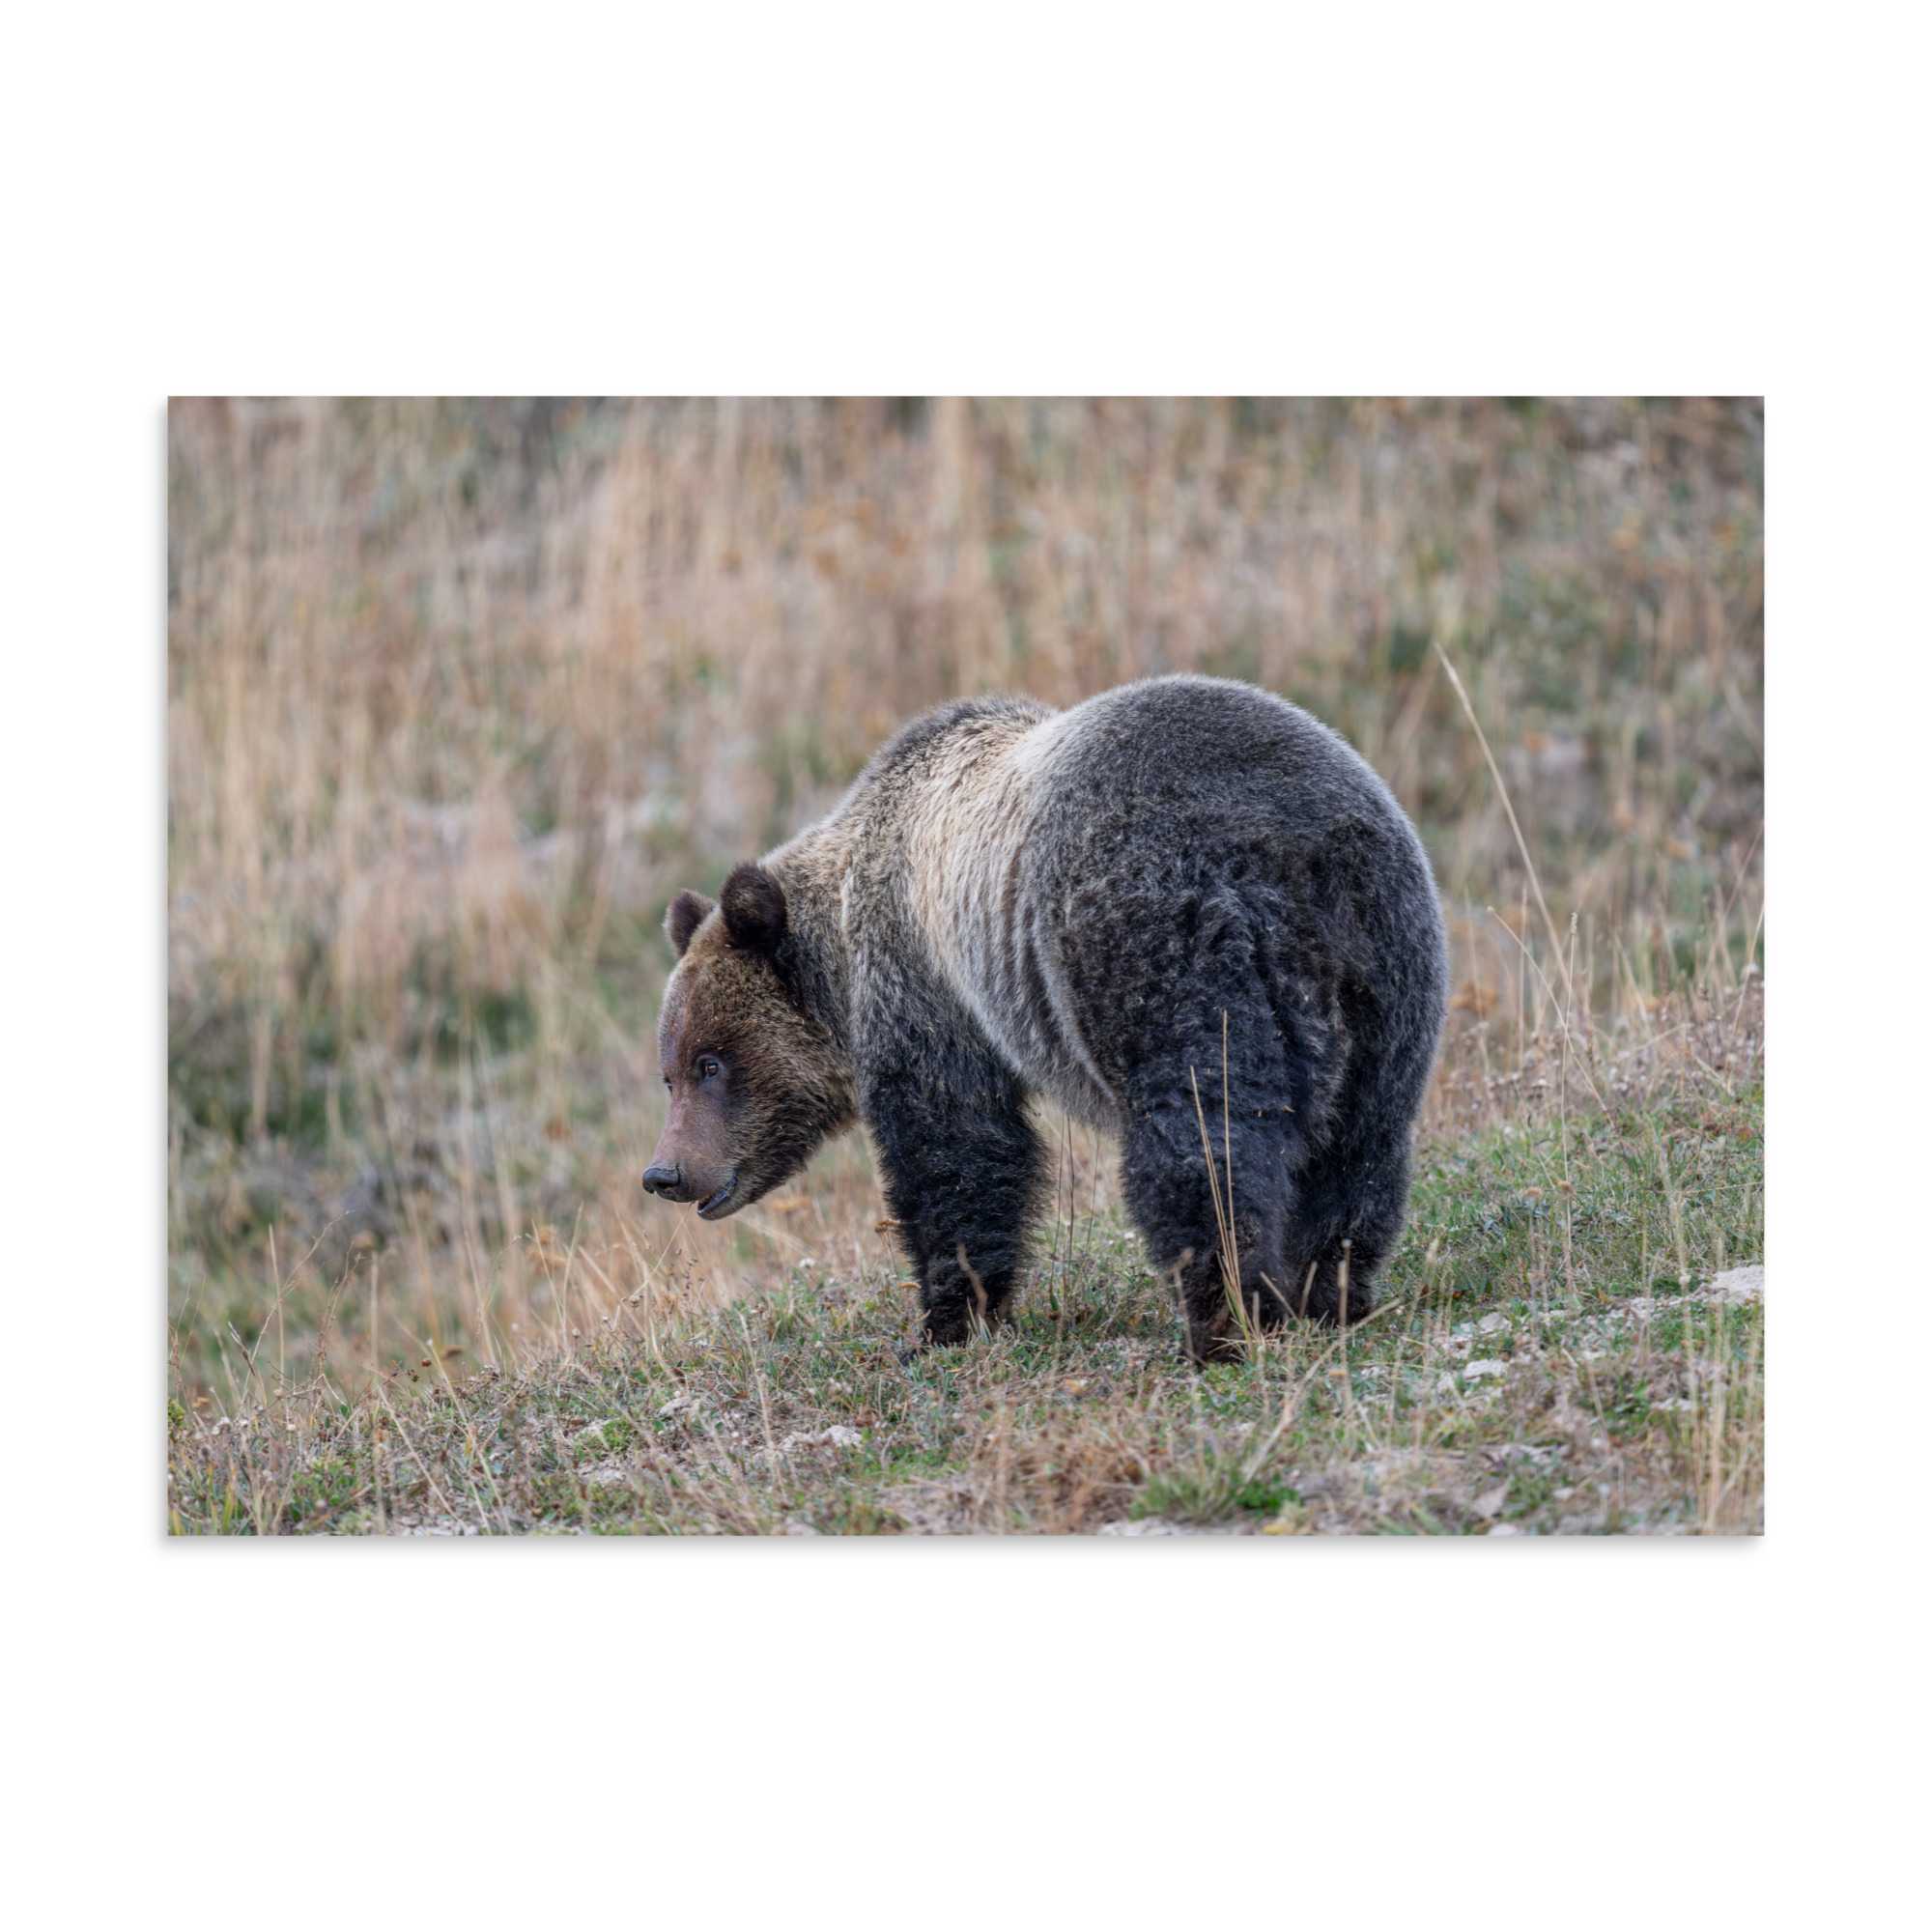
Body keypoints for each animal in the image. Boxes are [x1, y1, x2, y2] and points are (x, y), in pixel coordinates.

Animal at [643, 674, 1448, 1363]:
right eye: (670, 1072)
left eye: (711, 1062)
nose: (665, 1173)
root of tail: (1290, 852)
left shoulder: (928, 988)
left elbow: (957, 1150)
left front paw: (946, 1320)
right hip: (1387, 967)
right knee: (1360, 1146)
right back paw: (1329, 1293)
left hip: (1160, 946)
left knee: (1202, 1140)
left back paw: (1223, 1321)